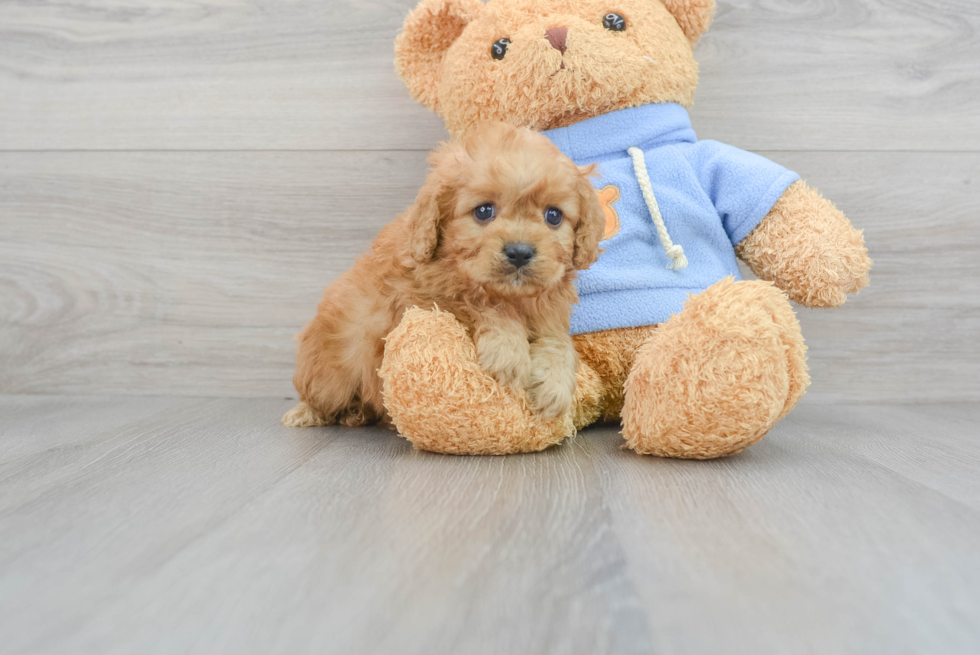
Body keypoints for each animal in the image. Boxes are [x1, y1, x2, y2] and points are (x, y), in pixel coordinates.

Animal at [282, 122, 604, 430]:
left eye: (554, 216)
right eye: (484, 211)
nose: (520, 252)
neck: (511, 296)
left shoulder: (550, 313)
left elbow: (559, 342)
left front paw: (554, 383)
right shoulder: (419, 298)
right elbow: (477, 303)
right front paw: (508, 353)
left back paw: (357, 414)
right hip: (329, 375)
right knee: (319, 396)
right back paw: (310, 413)